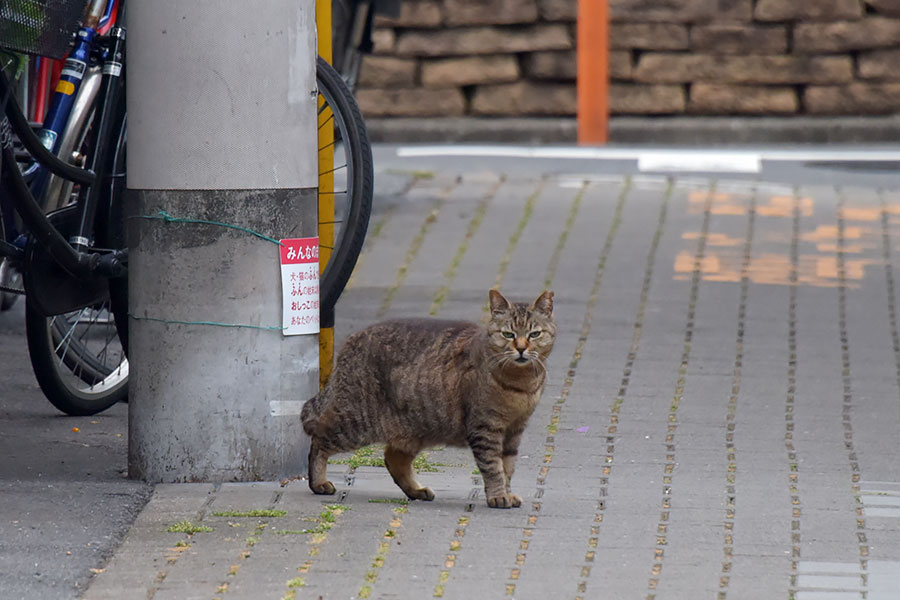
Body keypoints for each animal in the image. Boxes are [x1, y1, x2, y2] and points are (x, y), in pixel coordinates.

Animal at [302, 288, 552, 508]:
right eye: (508, 334)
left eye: (534, 334)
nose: (521, 348)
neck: (521, 384)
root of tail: (351, 340)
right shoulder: (486, 428)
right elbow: (493, 468)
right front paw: (499, 496)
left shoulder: (514, 431)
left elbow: (507, 468)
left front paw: (507, 493)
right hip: (355, 422)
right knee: (319, 439)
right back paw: (318, 482)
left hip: (413, 429)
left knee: (393, 459)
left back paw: (417, 491)